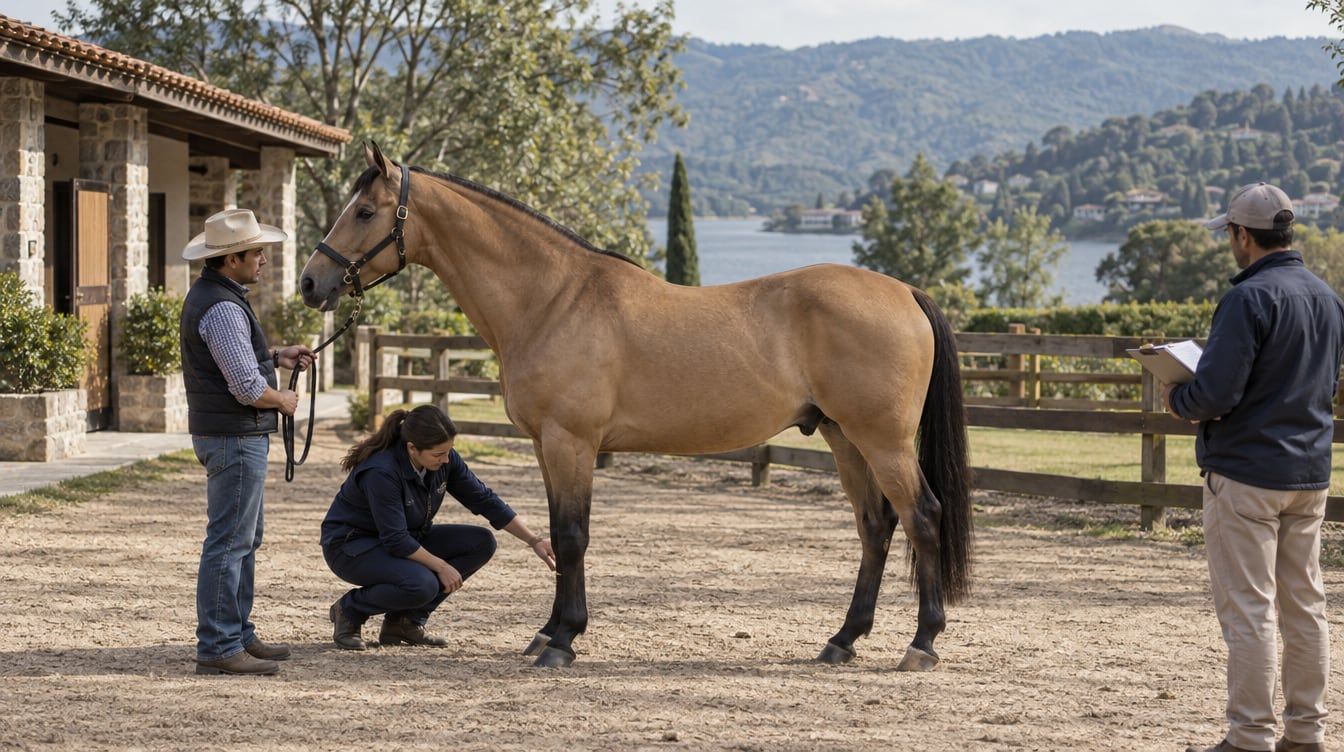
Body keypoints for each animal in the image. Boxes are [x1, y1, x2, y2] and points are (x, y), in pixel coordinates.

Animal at [300, 143, 972, 670]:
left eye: (364, 211)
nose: (310, 283)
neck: (553, 300)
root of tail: (905, 293)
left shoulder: (571, 442)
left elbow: (572, 537)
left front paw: (562, 642)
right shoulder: (548, 445)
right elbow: (558, 533)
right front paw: (548, 631)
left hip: (882, 440)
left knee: (923, 517)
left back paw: (921, 644)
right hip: (843, 437)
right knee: (876, 527)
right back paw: (842, 640)